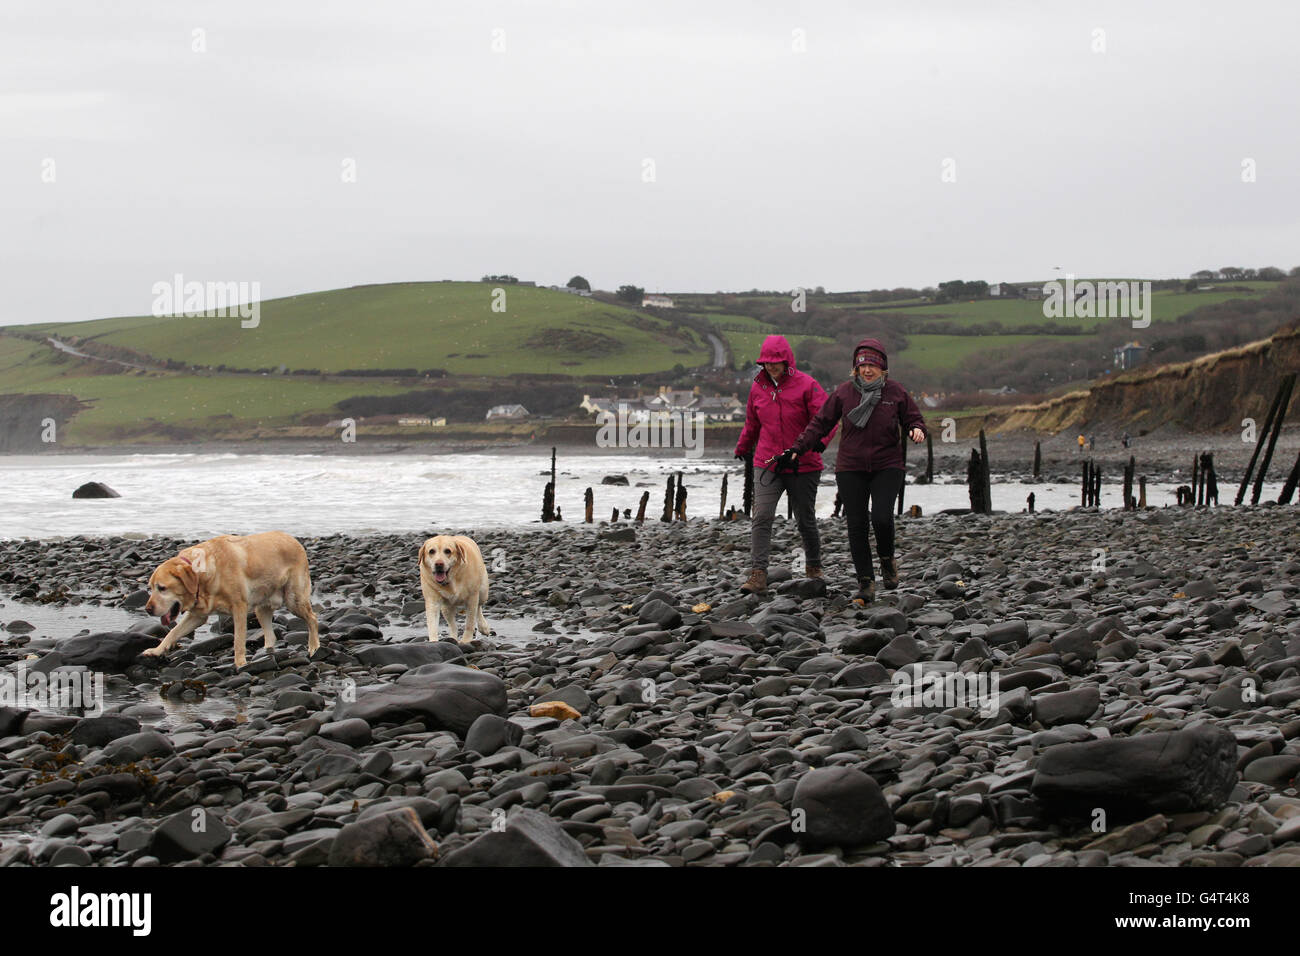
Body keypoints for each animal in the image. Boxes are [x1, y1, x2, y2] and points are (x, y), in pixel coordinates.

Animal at [142, 530, 319, 671]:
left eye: (162, 588)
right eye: (150, 587)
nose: (148, 609)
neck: (203, 574)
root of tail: (294, 540)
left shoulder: (239, 607)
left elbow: (238, 640)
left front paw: (240, 663)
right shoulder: (197, 616)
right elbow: (172, 632)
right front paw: (156, 650)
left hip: (294, 599)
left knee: (312, 618)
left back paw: (313, 646)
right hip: (261, 608)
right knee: (271, 635)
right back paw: (266, 654)